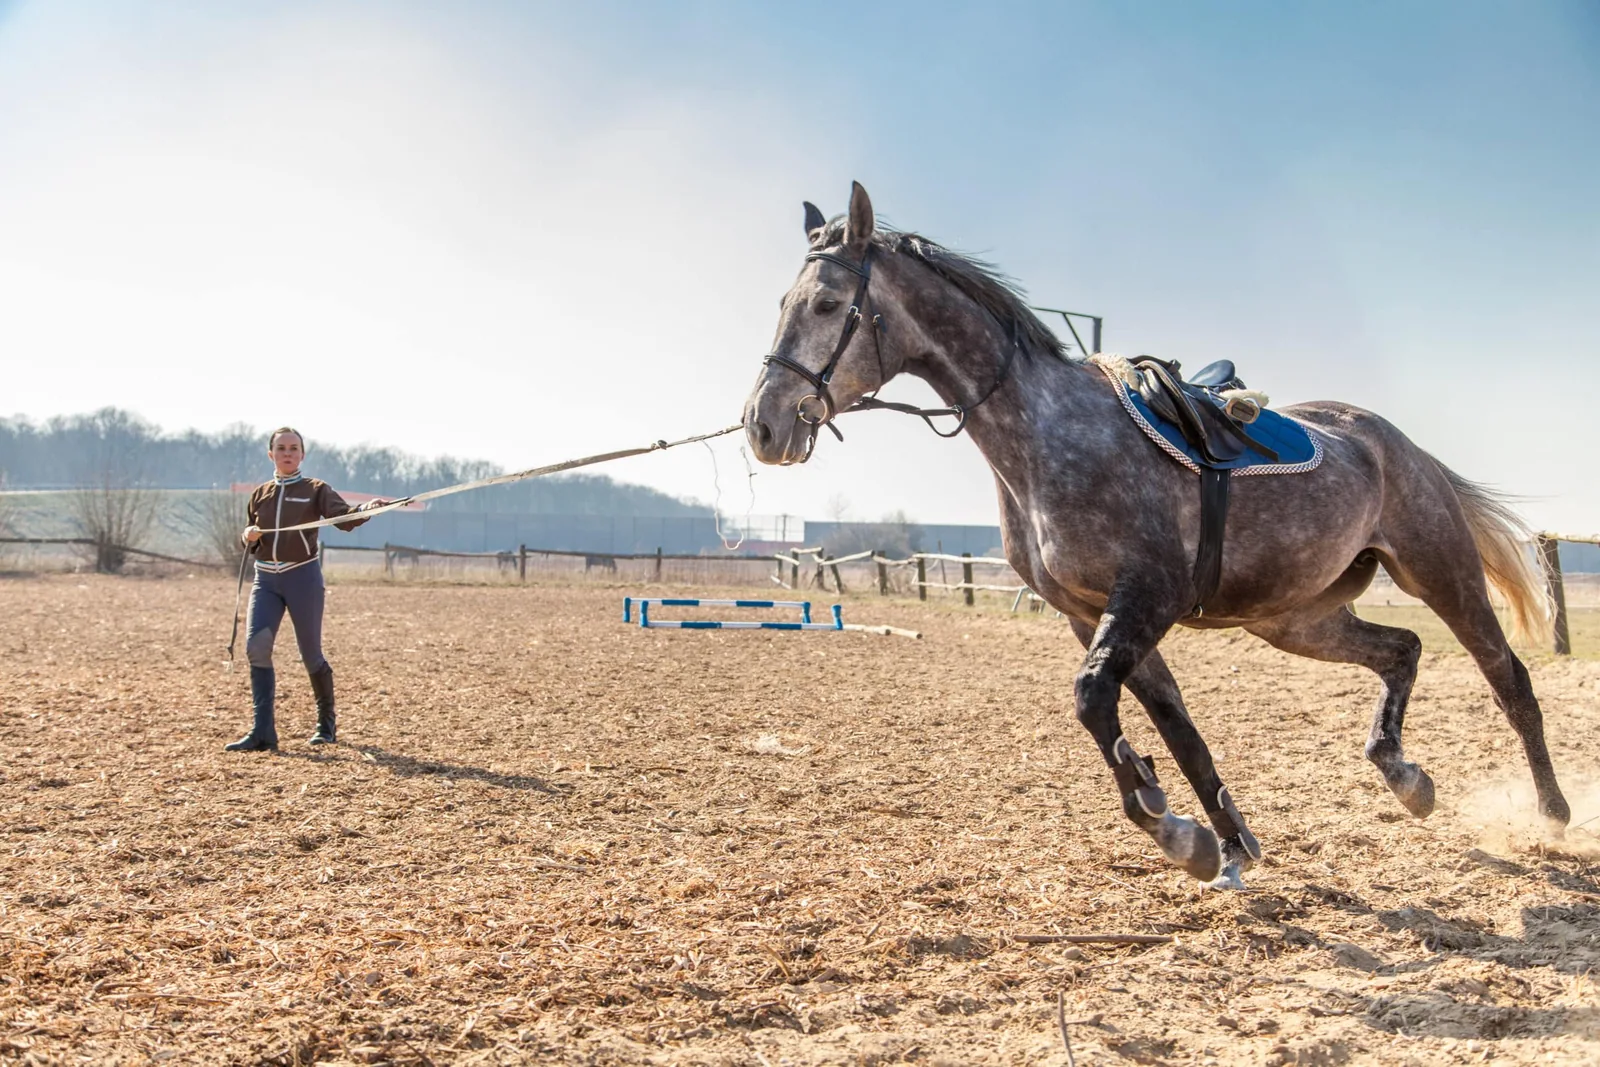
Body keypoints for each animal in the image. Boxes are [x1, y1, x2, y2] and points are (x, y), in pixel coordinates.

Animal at [742, 181, 1569, 888]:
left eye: (826, 303)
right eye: (781, 301)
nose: (764, 425)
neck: (1044, 436)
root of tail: (1396, 441)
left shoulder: (1148, 595)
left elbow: (1093, 701)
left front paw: (1173, 827)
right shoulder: (1090, 614)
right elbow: (1174, 725)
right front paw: (1223, 841)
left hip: (1441, 571)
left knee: (1509, 680)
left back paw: (1552, 813)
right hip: (1295, 617)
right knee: (1402, 650)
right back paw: (1405, 776)